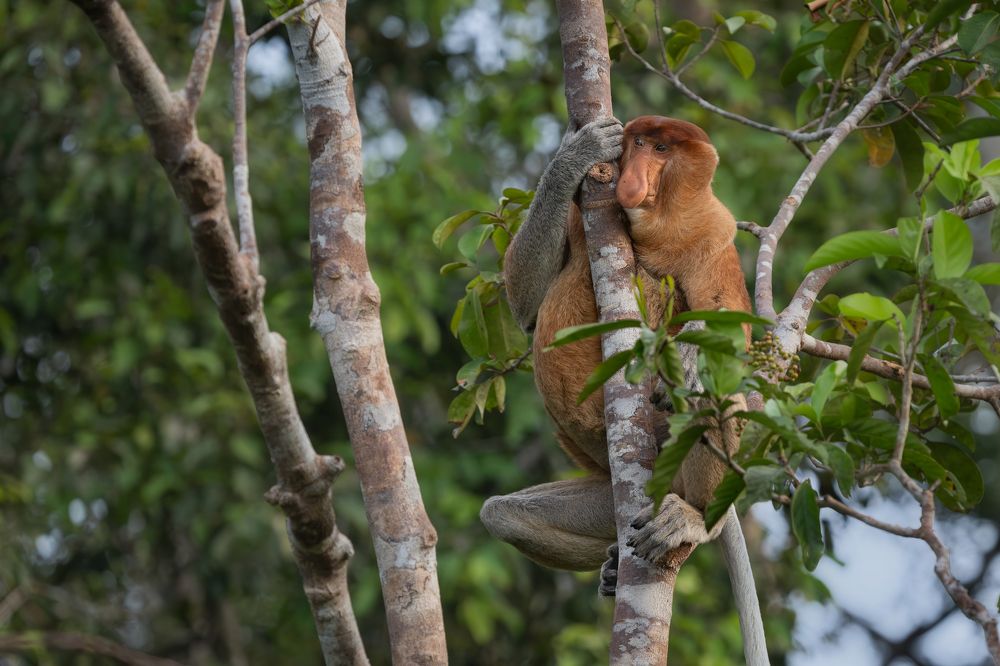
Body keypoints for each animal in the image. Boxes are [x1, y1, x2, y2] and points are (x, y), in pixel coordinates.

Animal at [479, 116, 767, 664]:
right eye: (635, 143)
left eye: (660, 148)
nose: (633, 179)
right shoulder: (583, 214)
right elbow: (525, 303)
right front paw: (579, 151)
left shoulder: (714, 236)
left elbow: (737, 342)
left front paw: (693, 351)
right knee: (502, 516)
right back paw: (614, 563)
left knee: (712, 393)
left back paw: (694, 521)